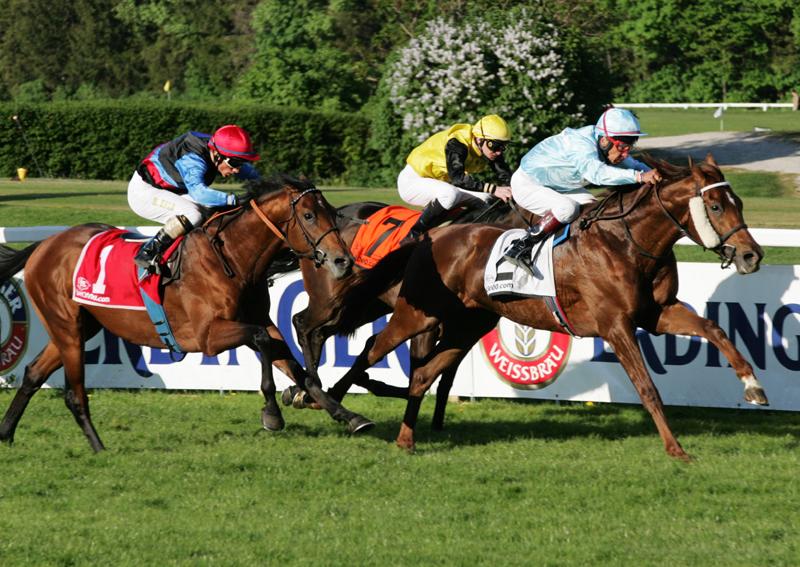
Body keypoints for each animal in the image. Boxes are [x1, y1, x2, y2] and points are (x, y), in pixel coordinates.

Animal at [0, 175, 373, 452]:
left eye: (331, 212)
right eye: (309, 216)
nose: (343, 261)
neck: (233, 258)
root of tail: (46, 244)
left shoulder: (262, 321)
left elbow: (298, 369)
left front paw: (349, 416)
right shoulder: (207, 335)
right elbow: (262, 342)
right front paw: (271, 413)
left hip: (80, 326)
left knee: (32, 373)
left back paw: (6, 433)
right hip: (67, 327)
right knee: (73, 393)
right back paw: (98, 447)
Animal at [283, 198, 535, 430]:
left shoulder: (464, 331)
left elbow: (442, 379)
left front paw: (437, 424)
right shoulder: (427, 326)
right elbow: (417, 375)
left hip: (366, 304)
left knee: (320, 333)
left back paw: (304, 390)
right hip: (331, 299)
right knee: (302, 323)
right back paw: (309, 388)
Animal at [325, 155, 768, 460]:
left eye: (739, 202)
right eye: (715, 206)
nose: (752, 255)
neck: (626, 241)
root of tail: (428, 237)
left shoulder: (657, 313)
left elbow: (715, 330)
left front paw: (753, 387)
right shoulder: (616, 325)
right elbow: (647, 387)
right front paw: (675, 448)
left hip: (468, 325)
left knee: (422, 374)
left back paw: (405, 438)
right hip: (418, 313)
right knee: (373, 349)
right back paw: (330, 401)